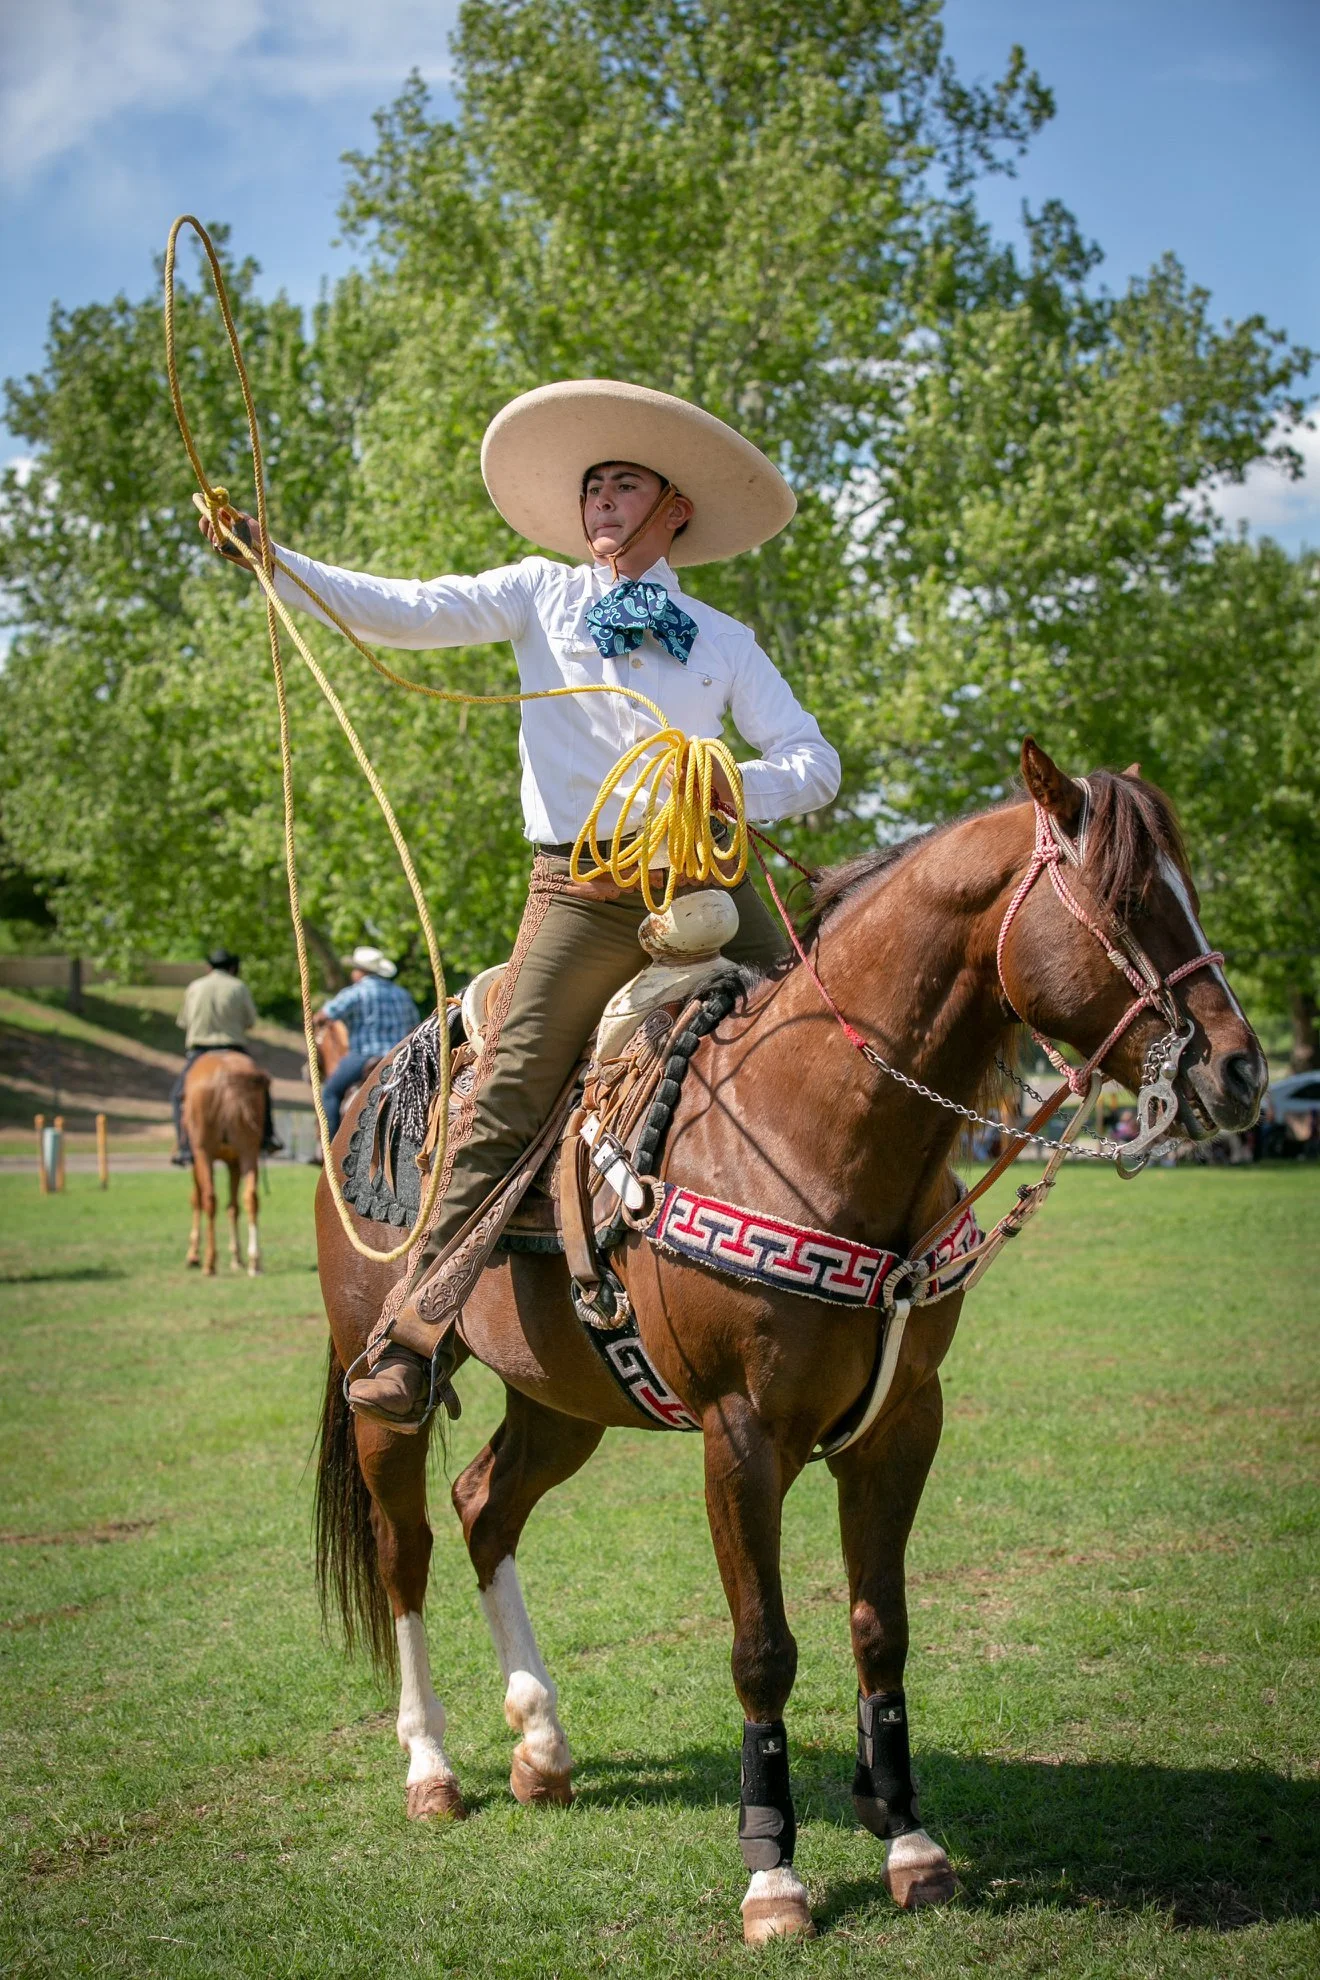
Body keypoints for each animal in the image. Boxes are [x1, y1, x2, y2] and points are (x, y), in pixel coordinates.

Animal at [183, 1051, 270, 1276]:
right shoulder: (235, 1163)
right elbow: (233, 1207)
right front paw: (237, 1258)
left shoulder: (197, 1158)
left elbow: (197, 1199)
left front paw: (193, 1254)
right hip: (248, 1151)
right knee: (251, 1198)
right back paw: (254, 1261)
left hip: (204, 1152)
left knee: (209, 1199)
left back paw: (209, 1262)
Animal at [312, 740, 1265, 1945]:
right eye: (1129, 898)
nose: (1241, 1073)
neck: (817, 1128)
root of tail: (369, 1093)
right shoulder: (744, 1436)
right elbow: (764, 1648)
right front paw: (772, 1871)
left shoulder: (902, 1424)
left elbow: (879, 1627)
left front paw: (909, 1839)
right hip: (382, 1389)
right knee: (408, 1548)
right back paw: (431, 1768)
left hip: (564, 1399)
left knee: (487, 1506)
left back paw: (542, 1744)